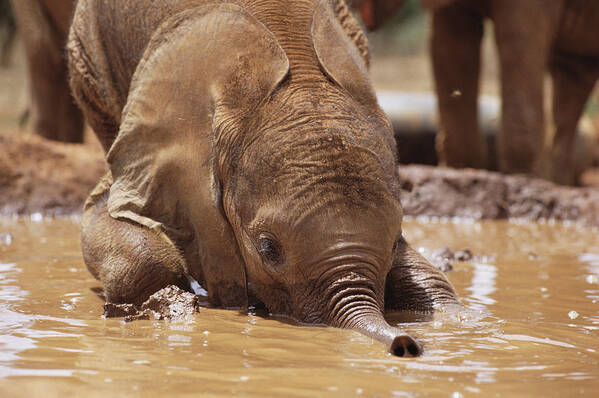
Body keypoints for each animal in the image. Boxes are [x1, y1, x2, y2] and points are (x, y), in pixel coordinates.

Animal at [422, 0, 599, 183]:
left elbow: (519, 40)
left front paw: (521, 179)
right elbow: (452, 46)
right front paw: (460, 175)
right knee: (572, 81)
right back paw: (556, 182)